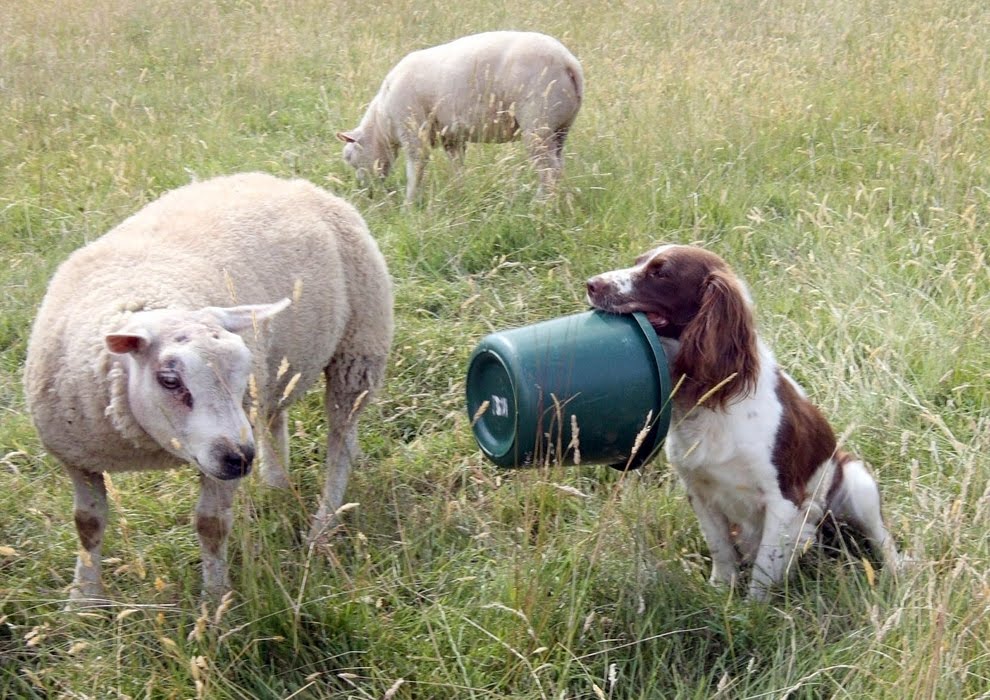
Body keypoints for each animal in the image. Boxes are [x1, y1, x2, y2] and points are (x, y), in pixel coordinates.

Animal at [23, 172, 394, 603]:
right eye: (170, 380)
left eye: (241, 371)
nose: (241, 459)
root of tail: (291, 182)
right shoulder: (76, 457)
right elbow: (87, 524)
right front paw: (82, 600)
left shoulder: (221, 461)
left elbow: (211, 526)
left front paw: (215, 602)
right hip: (281, 368)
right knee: (275, 417)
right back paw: (276, 486)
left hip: (358, 351)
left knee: (341, 441)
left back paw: (323, 525)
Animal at [337, 30, 584, 203]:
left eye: (349, 158)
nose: (366, 192)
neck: (382, 124)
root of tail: (569, 63)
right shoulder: (451, 137)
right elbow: (457, 167)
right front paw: (459, 193)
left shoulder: (412, 129)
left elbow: (416, 169)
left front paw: (409, 204)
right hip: (560, 127)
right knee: (557, 165)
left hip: (537, 122)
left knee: (549, 171)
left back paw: (542, 205)